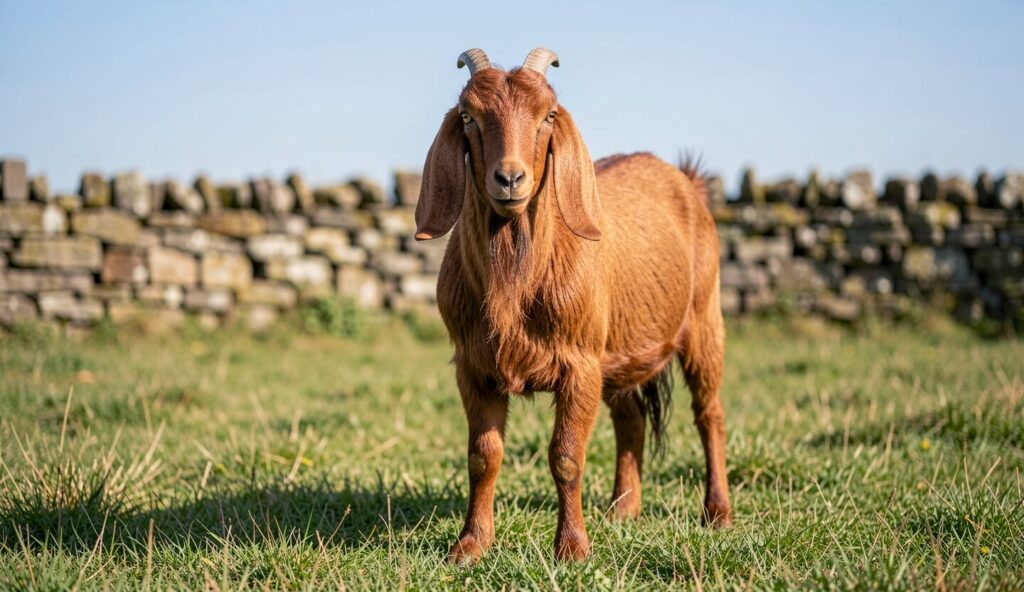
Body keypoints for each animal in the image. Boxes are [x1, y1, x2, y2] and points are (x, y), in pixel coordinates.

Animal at [416, 48, 731, 564]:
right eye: (468, 117)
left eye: (548, 115)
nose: (509, 178)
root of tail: (687, 179)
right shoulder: (473, 366)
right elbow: (483, 456)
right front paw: (470, 545)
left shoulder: (580, 364)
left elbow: (566, 456)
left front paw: (572, 548)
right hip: (620, 348)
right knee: (631, 418)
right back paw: (622, 510)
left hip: (705, 320)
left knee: (709, 414)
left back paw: (718, 512)